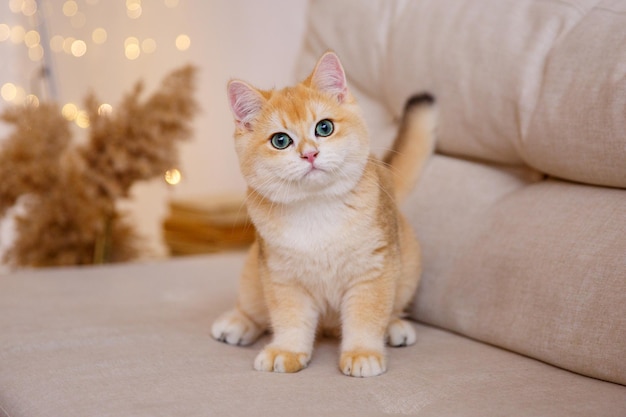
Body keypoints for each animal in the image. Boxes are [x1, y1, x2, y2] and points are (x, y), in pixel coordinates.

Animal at [210, 50, 434, 376]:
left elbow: (367, 315)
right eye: (280, 141)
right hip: (253, 271)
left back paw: (395, 327)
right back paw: (237, 323)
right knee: (254, 310)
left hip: (408, 266)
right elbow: (290, 319)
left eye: (324, 128)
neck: (315, 207)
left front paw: (362, 353)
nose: (310, 154)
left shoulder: (373, 271)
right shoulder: (282, 277)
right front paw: (288, 351)